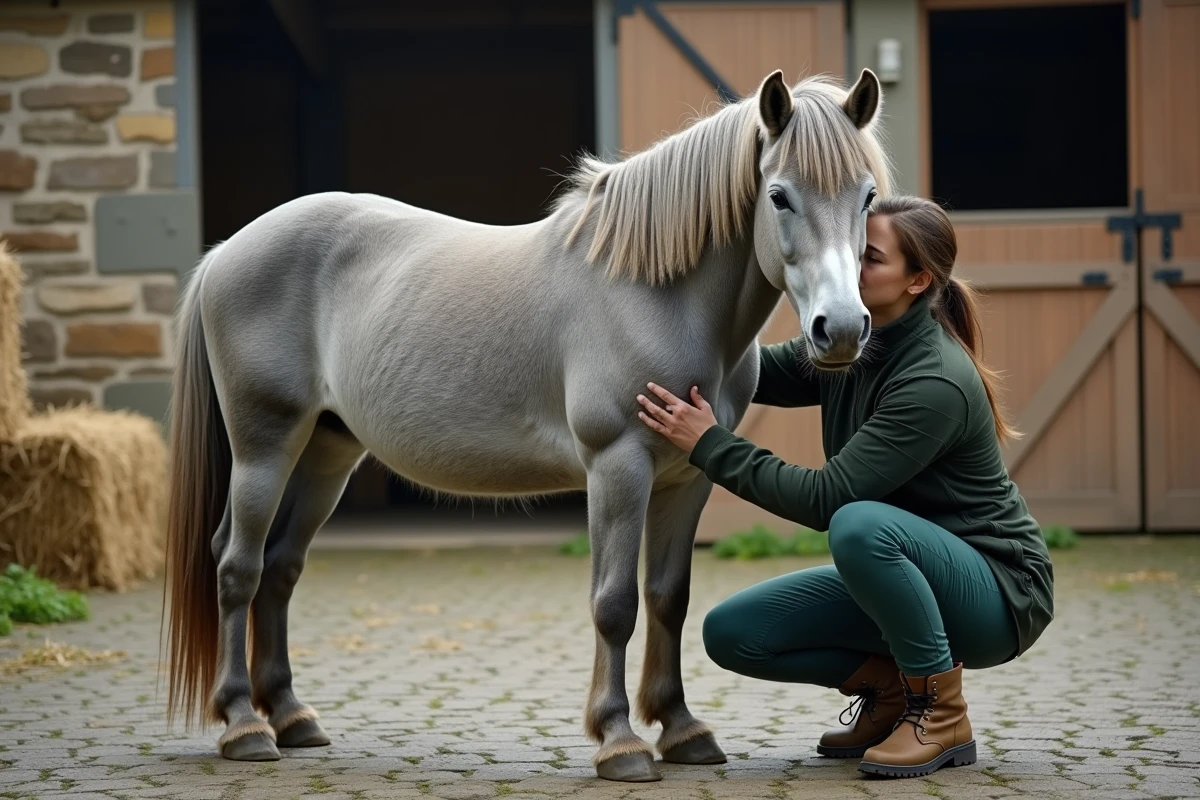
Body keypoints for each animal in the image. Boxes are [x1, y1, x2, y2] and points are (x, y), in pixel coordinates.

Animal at [163, 68, 892, 783]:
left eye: (867, 197)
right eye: (779, 196)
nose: (841, 329)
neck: (657, 296)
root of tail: (227, 251)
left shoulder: (688, 477)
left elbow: (667, 598)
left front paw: (683, 730)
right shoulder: (617, 467)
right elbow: (614, 603)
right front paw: (620, 741)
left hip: (325, 453)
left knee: (281, 567)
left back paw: (291, 716)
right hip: (265, 445)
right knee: (238, 566)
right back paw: (244, 726)